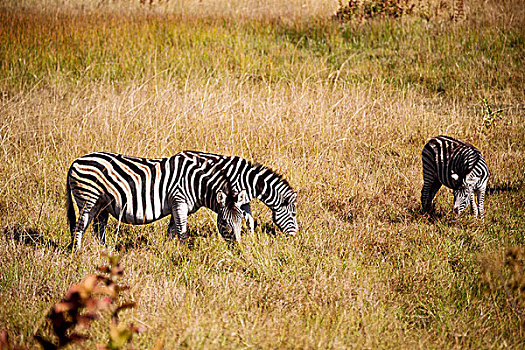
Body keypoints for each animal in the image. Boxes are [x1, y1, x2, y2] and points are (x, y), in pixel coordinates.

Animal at [65, 150, 250, 249]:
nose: (238, 249)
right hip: (88, 200)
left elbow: (172, 231)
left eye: (241, 221)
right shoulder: (179, 200)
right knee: (79, 227)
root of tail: (75, 161)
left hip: (102, 204)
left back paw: (104, 252)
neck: (196, 183)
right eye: (224, 222)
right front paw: (185, 254)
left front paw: (168, 251)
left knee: (98, 230)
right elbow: (182, 231)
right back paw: (78, 253)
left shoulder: (176, 205)